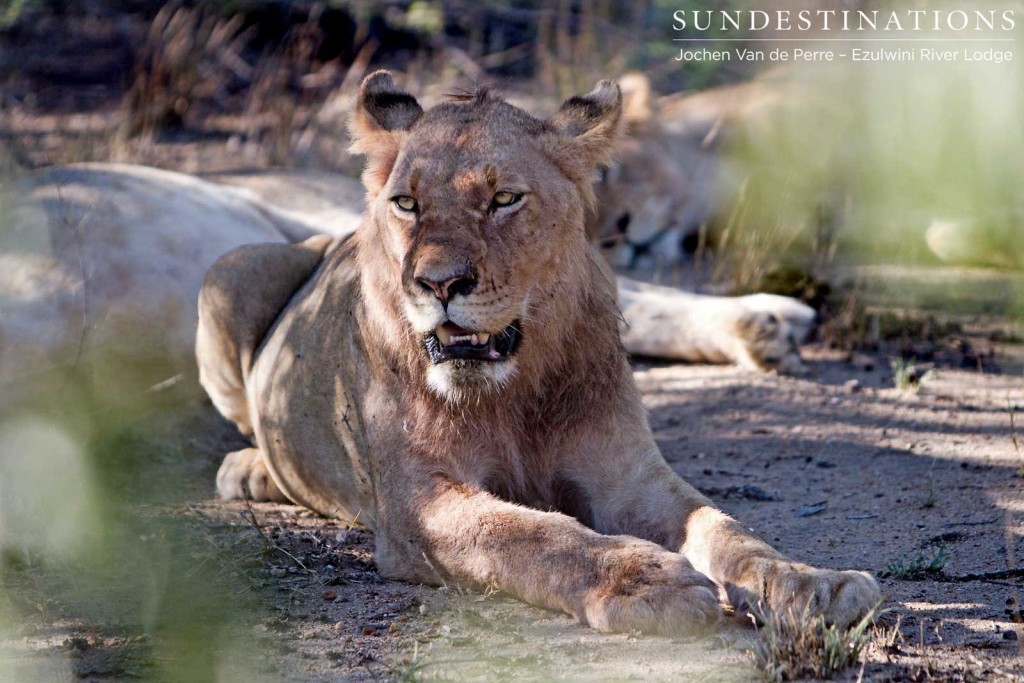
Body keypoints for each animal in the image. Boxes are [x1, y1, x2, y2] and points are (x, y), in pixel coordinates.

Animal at [199, 70, 880, 634]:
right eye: (407, 204)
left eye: (504, 199)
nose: (438, 283)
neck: (515, 389)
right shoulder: (418, 503)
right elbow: (528, 534)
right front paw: (645, 581)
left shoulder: (629, 476)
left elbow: (726, 528)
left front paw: (814, 584)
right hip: (231, 272)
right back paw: (249, 470)